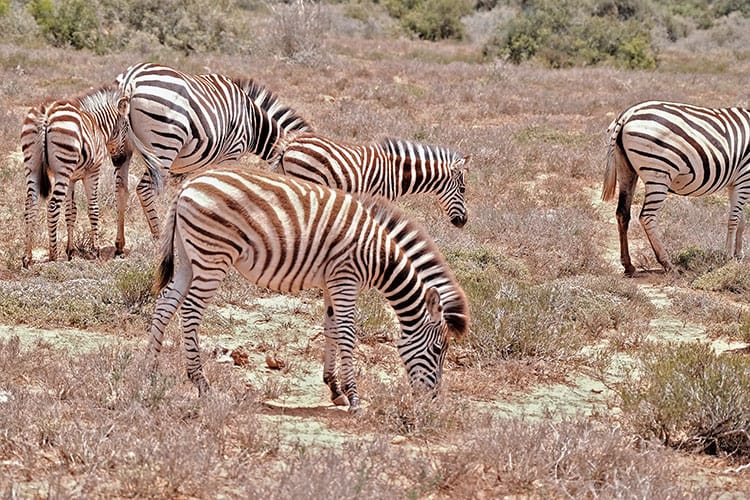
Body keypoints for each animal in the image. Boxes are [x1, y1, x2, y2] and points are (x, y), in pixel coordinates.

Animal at [21, 84, 137, 268]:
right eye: (126, 127)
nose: (120, 161)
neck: (98, 125)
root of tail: (46, 113)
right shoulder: (93, 172)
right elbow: (93, 208)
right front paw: (95, 250)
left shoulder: (72, 178)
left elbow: (71, 211)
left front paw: (70, 251)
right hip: (63, 167)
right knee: (53, 206)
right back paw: (53, 255)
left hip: (32, 166)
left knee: (30, 207)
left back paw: (28, 257)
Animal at [114, 62, 312, 238]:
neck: (252, 122)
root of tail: (131, 79)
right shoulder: (232, 152)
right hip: (164, 146)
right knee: (144, 189)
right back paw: (157, 238)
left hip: (120, 145)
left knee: (120, 189)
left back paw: (120, 244)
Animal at [147, 166, 470, 412]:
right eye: (438, 349)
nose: (432, 400)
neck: (379, 255)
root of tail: (188, 184)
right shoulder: (345, 278)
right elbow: (347, 333)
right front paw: (354, 398)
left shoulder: (331, 282)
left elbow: (331, 328)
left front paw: (335, 389)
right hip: (213, 255)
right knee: (190, 310)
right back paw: (200, 382)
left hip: (190, 254)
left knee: (166, 302)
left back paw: (150, 369)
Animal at [604, 99, 750, 276]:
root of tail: (628, 114)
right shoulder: (744, 177)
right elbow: (734, 219)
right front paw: (729, 258)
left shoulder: (734, 182)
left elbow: (741, 220)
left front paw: (739, 256)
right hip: (658, 173)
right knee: (647, 217)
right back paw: (667, 264)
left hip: (626, 170)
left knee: (622, 213)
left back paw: (628, 265)